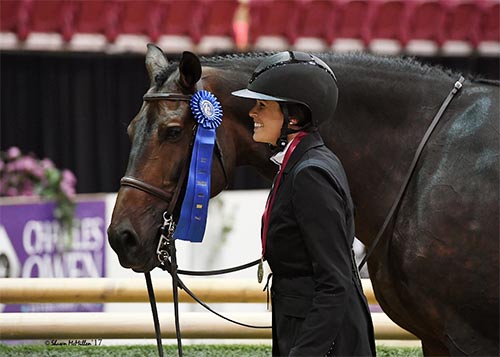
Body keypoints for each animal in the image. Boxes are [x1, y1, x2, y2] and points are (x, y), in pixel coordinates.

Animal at [107, 43, 498, 354]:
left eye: (172, 132)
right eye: (130, 129)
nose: (121, 237)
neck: (426, 162)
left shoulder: (468, 338)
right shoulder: (434, 339)